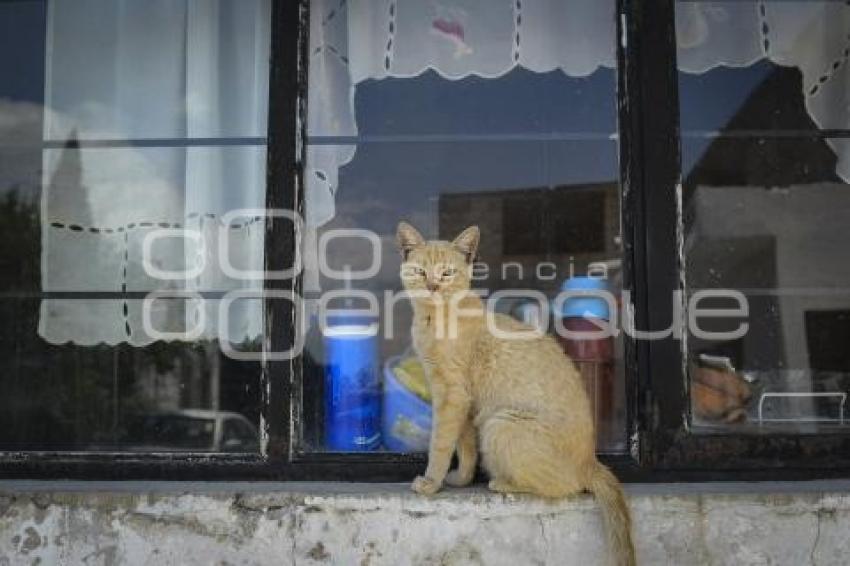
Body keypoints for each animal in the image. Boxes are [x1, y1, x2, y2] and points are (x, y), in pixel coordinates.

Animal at [396, 222, 628, 566]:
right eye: (420, 271)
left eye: (447, 273)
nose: (433, 286)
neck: (435, 320)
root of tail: (592, 460)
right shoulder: (464, 402)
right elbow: (465, 447)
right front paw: (461, 479)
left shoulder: (452, 396)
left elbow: (440, 445)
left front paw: (430, 483)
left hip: (501, 423)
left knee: (566, 488)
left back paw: (503, 482)